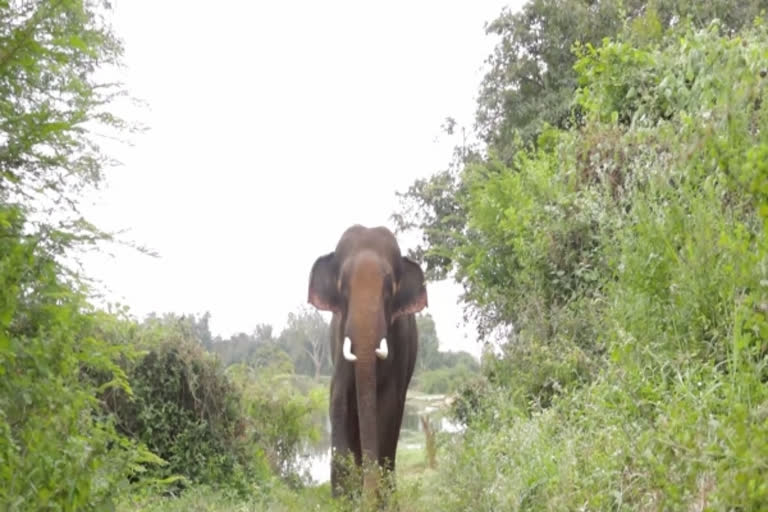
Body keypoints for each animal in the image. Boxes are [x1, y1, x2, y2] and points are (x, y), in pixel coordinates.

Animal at [306, 225, 426, 504]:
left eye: (389, 290)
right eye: (343, 289)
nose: (367, 500)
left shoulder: (400, 342)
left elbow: (388, 405)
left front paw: (380, 500)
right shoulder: (339, 341)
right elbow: (338, 399)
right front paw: (342, 500)